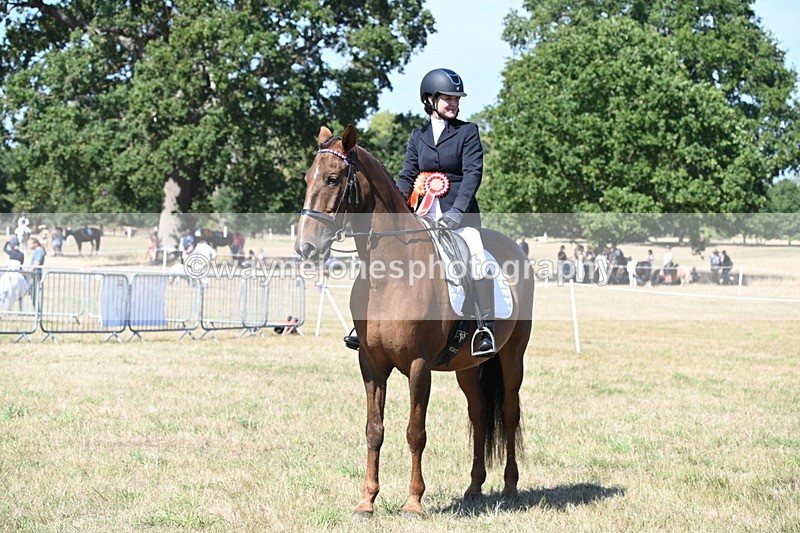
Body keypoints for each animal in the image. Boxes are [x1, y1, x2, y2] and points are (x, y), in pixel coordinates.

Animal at [295, 125, 534, 518]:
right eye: (306, 178)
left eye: (332, 179)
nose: (305, 249)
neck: (390, 273)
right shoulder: (371, 364)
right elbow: (374, 430)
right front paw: (366, 501)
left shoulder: (419, 365)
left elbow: (415, 432)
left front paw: (413, 503)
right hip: (468, 366)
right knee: (479, 414)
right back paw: (474, 488)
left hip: (512, 356)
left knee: (510, 413)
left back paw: (511, 487)